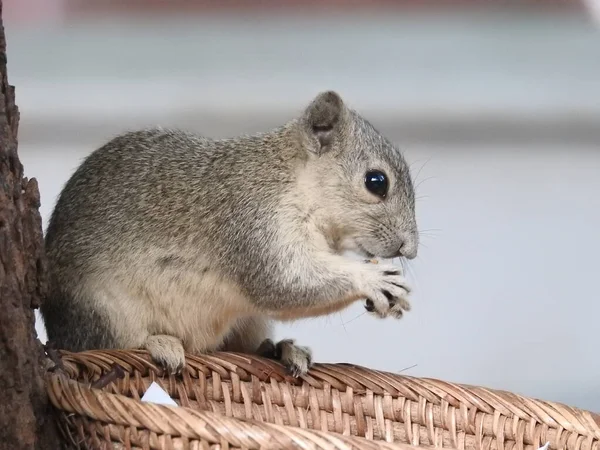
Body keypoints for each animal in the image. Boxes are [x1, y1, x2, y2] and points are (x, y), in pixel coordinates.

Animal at [41, 90, 418, 376]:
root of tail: (58, 335)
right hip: (104, 313)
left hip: (248, 321)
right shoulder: (252, 222)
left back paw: (280, 349)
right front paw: (372, 278)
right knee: (108, 343)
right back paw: (160, 344)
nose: (409, 250)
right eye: (376, 182)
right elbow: (284, 283)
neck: (293, 180)